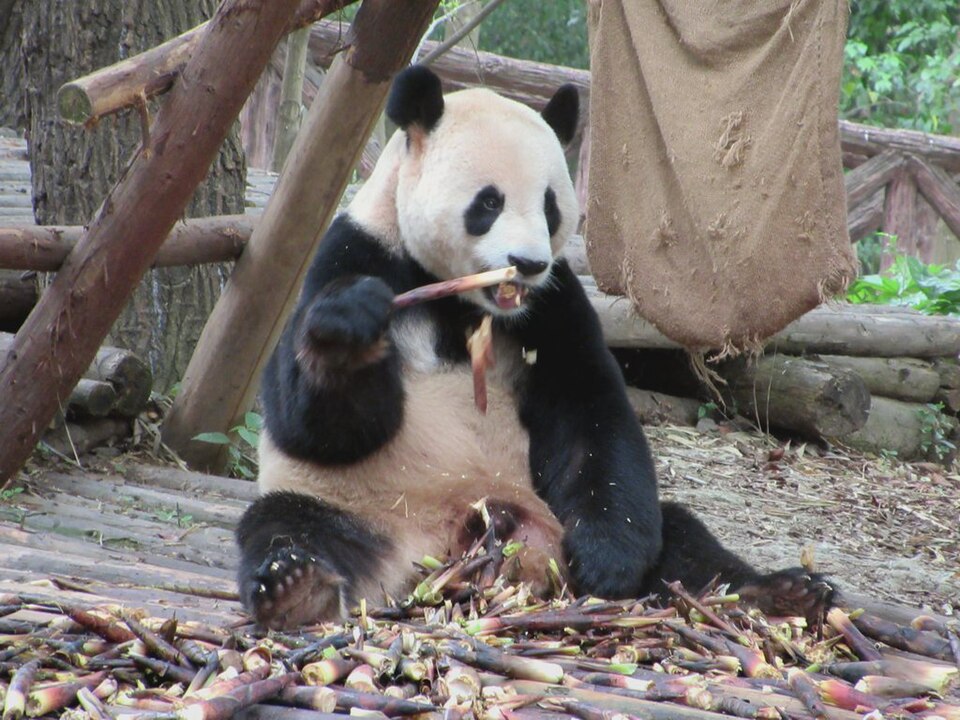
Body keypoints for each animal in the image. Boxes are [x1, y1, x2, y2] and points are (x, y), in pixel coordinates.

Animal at [235, 65, 833, 629]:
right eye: (488, 202)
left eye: (550, 206)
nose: (526, 264)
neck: (464, 300)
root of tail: (450, 552)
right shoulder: (356, 252)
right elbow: (318, 426)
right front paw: (350, 327)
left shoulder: (553, 303)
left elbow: (589, 411)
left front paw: (606, 561)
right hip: (364, 507)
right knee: (287, 525)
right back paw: (296, 589)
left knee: (681, 535)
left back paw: (779, 593)